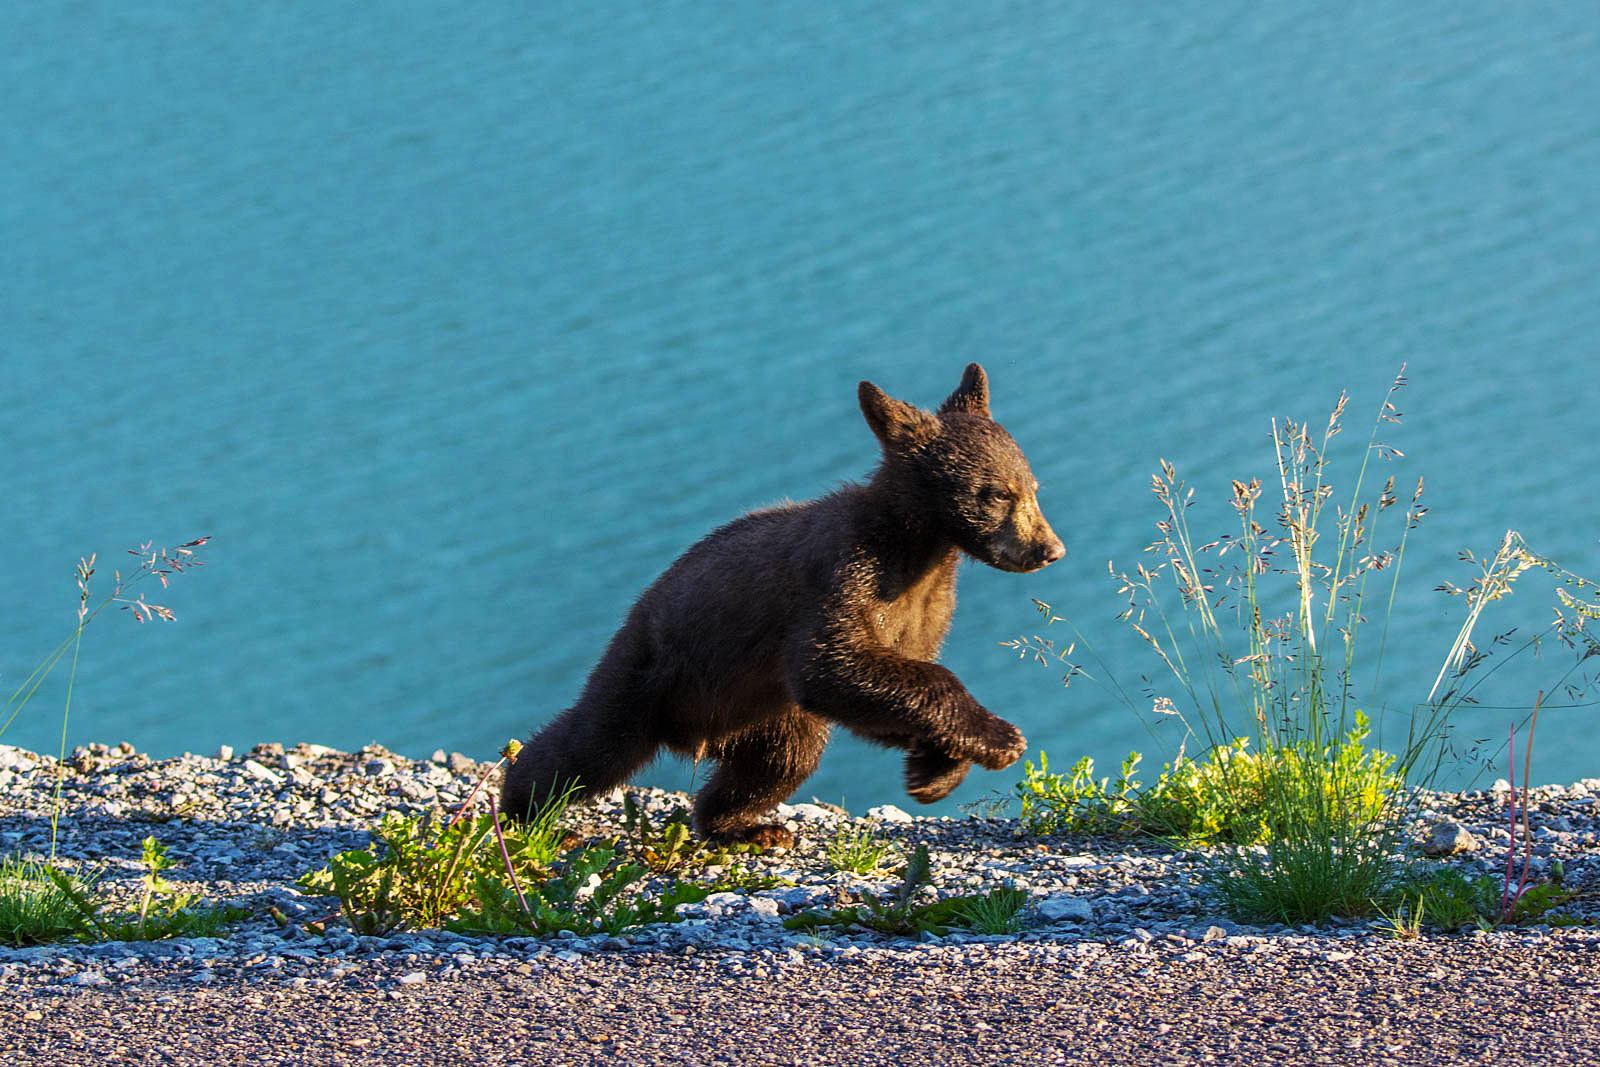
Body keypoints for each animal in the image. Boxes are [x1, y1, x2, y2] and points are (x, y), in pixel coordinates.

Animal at [501, 363, 1065, 847]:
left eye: (1033, 487)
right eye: (997, 493)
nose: (1049, 549)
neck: (920, 550)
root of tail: (698, 738)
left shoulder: (927, 606)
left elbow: (890, 676)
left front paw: (935, 769)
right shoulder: (844, 576)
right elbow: (834, 665)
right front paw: (1000, 738)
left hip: (764, 713)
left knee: (779, 762)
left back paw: (744, 826)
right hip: (649, 673)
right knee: (589, 746)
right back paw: (522, 813)